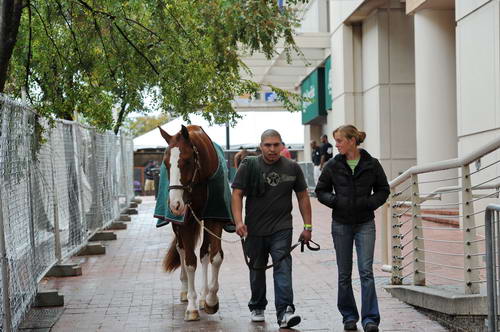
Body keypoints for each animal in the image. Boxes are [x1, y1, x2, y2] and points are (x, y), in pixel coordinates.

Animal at [158, 124, 225, 322]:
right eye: (166, 164)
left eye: (187, 161)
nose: (174, 204)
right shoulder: (186, 222)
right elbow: (189, 262)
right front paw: (192, 306)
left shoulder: (214, 217)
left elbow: (214, 256)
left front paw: (210, 300)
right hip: (177, 225)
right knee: (181, 249)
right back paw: (184, 291)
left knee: (204, 252)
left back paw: (203, 297)